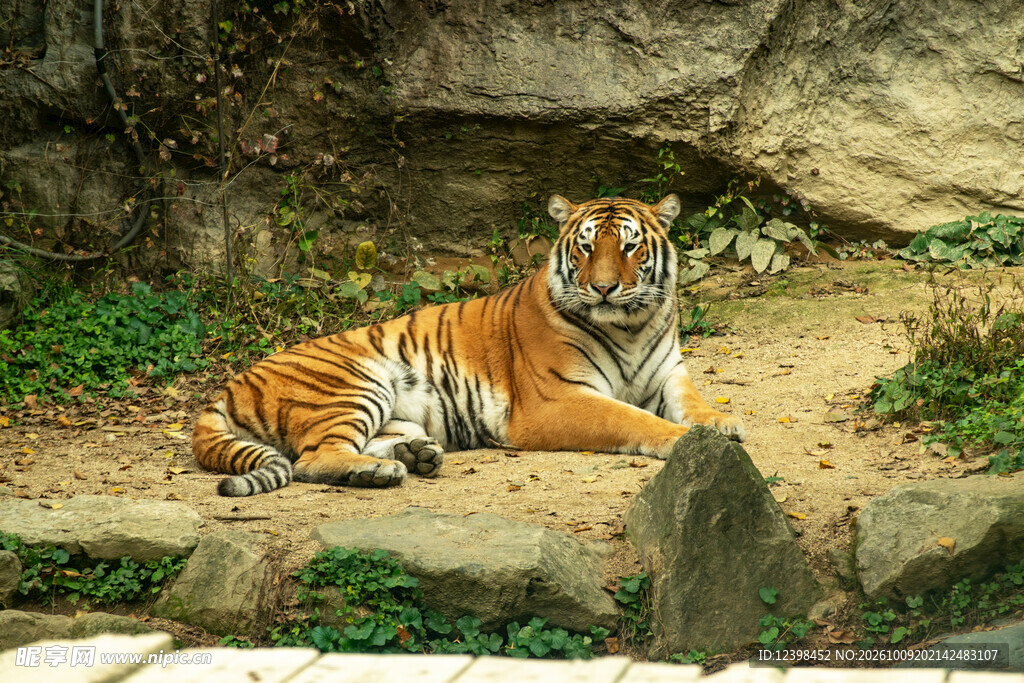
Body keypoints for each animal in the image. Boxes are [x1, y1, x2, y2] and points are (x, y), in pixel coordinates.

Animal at [192, 194, 746, 496]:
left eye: (630, 246)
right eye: (586, 247)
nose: (605, 288)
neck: (630, 326)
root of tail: (230, 384)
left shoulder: (668, 373)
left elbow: (694, 400)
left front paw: (722, 422)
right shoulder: (555, 400)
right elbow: (630, 419)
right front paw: (685, 440)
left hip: (396, 409)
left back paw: (417, 456)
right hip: (354, 383)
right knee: (312, 458)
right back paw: (381, 471)